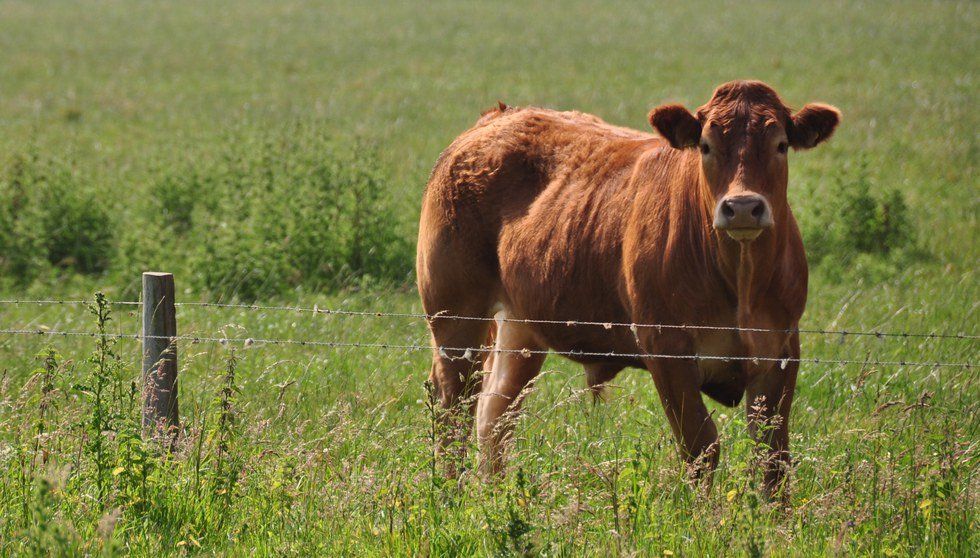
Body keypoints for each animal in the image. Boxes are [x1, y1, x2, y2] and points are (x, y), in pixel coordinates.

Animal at [416, 80, 840, 496]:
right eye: (706, 145)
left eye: (780, 145)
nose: (743, 207)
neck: (740, 281)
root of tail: (498, 118)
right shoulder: (666, 349)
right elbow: (701, 446)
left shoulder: (781, 349)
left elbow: (772, 457)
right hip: (455, 318)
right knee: (453, 405)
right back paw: (450, 494)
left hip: (521, 326)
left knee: (495, 411)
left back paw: (493, 494)